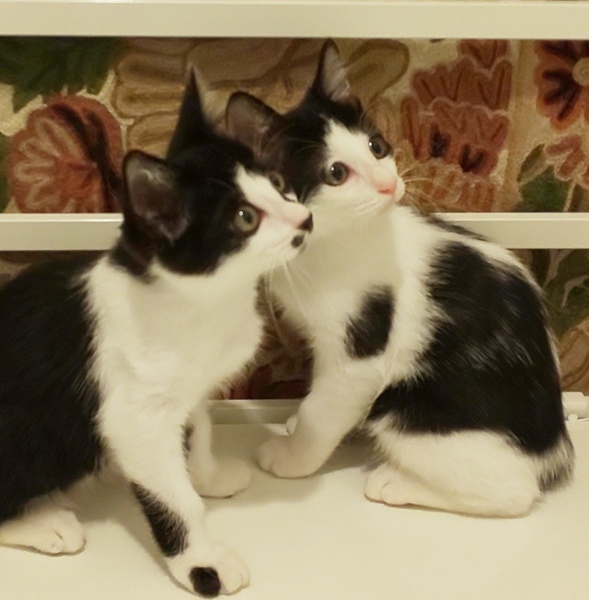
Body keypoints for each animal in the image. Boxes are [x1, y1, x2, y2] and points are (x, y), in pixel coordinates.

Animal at [0, 70, 312, 597]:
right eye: (245, 218)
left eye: (279, 184)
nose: (305, 219)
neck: (205, 301)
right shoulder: (134, 415)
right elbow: (172, 497)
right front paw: (203, 562)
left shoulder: (191, 385)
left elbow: (200, 425)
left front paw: (206, 474)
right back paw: (42, 521)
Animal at [225, 41, 575, 517]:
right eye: (336, 172)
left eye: (376, 146)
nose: (389, 184)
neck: (338, 240)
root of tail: (553, 447)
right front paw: (294, 423)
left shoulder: (360, 356)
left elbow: (325, 407)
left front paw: (293, 456)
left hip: (407, 408)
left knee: (515, 492)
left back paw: (396, 482)